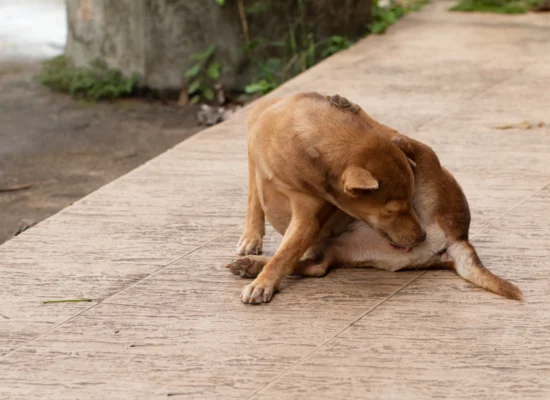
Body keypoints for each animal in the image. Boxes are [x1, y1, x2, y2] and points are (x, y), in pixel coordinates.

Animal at [230, 92, 528, 304]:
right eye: (390, 211)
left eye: (405, 204)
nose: (420, 236)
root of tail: (458, 238)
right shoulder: (253, 156)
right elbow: (255, 200)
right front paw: (251, 242)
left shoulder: (308, 217)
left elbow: (285, 254)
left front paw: (263, 285)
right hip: (344, 250)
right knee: (317, 267)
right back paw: (251, 265)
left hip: (430, 167)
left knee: (405, 140)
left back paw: (350, 106)